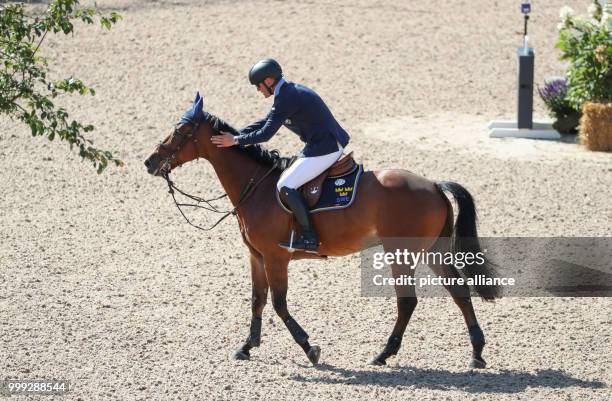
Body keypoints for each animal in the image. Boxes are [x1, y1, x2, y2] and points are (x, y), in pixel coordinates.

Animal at [145, 94, 502, 368]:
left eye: (180, 131)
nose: (150, 162)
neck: (257, 188)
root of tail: (434, 185)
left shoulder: (275, 258)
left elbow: (279, 304)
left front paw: (310, 349)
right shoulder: (256, 256)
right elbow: (257, 300)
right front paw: (246, 347)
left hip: (401, 253)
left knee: (407, 302)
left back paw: (383, 354)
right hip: (432, 250)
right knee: (458, 291)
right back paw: (476, 354)